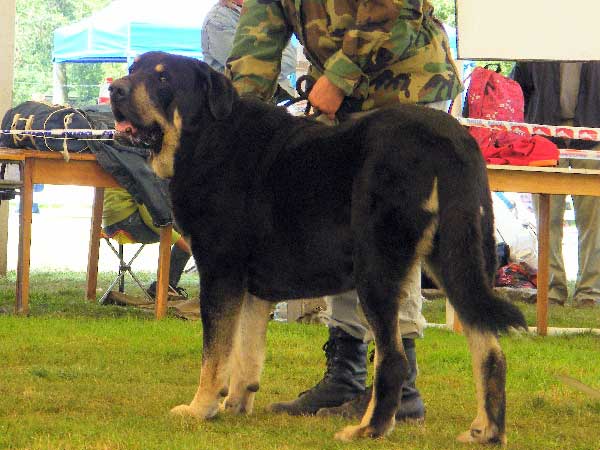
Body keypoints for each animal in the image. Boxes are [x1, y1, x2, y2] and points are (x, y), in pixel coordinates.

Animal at [110, 51, 528, 442]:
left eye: (163, 79)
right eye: (133, 69)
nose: (116, 89)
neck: (207, 138)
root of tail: (449, 137)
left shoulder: (219, 270)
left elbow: (215, 353)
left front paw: (201, 407)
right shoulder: (252, 286)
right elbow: (247, 350)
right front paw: (236, 404)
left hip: (376, 269)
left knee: (394, 358)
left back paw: (369, 428)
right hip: (456, 259)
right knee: (490, 351)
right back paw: (487, 430)